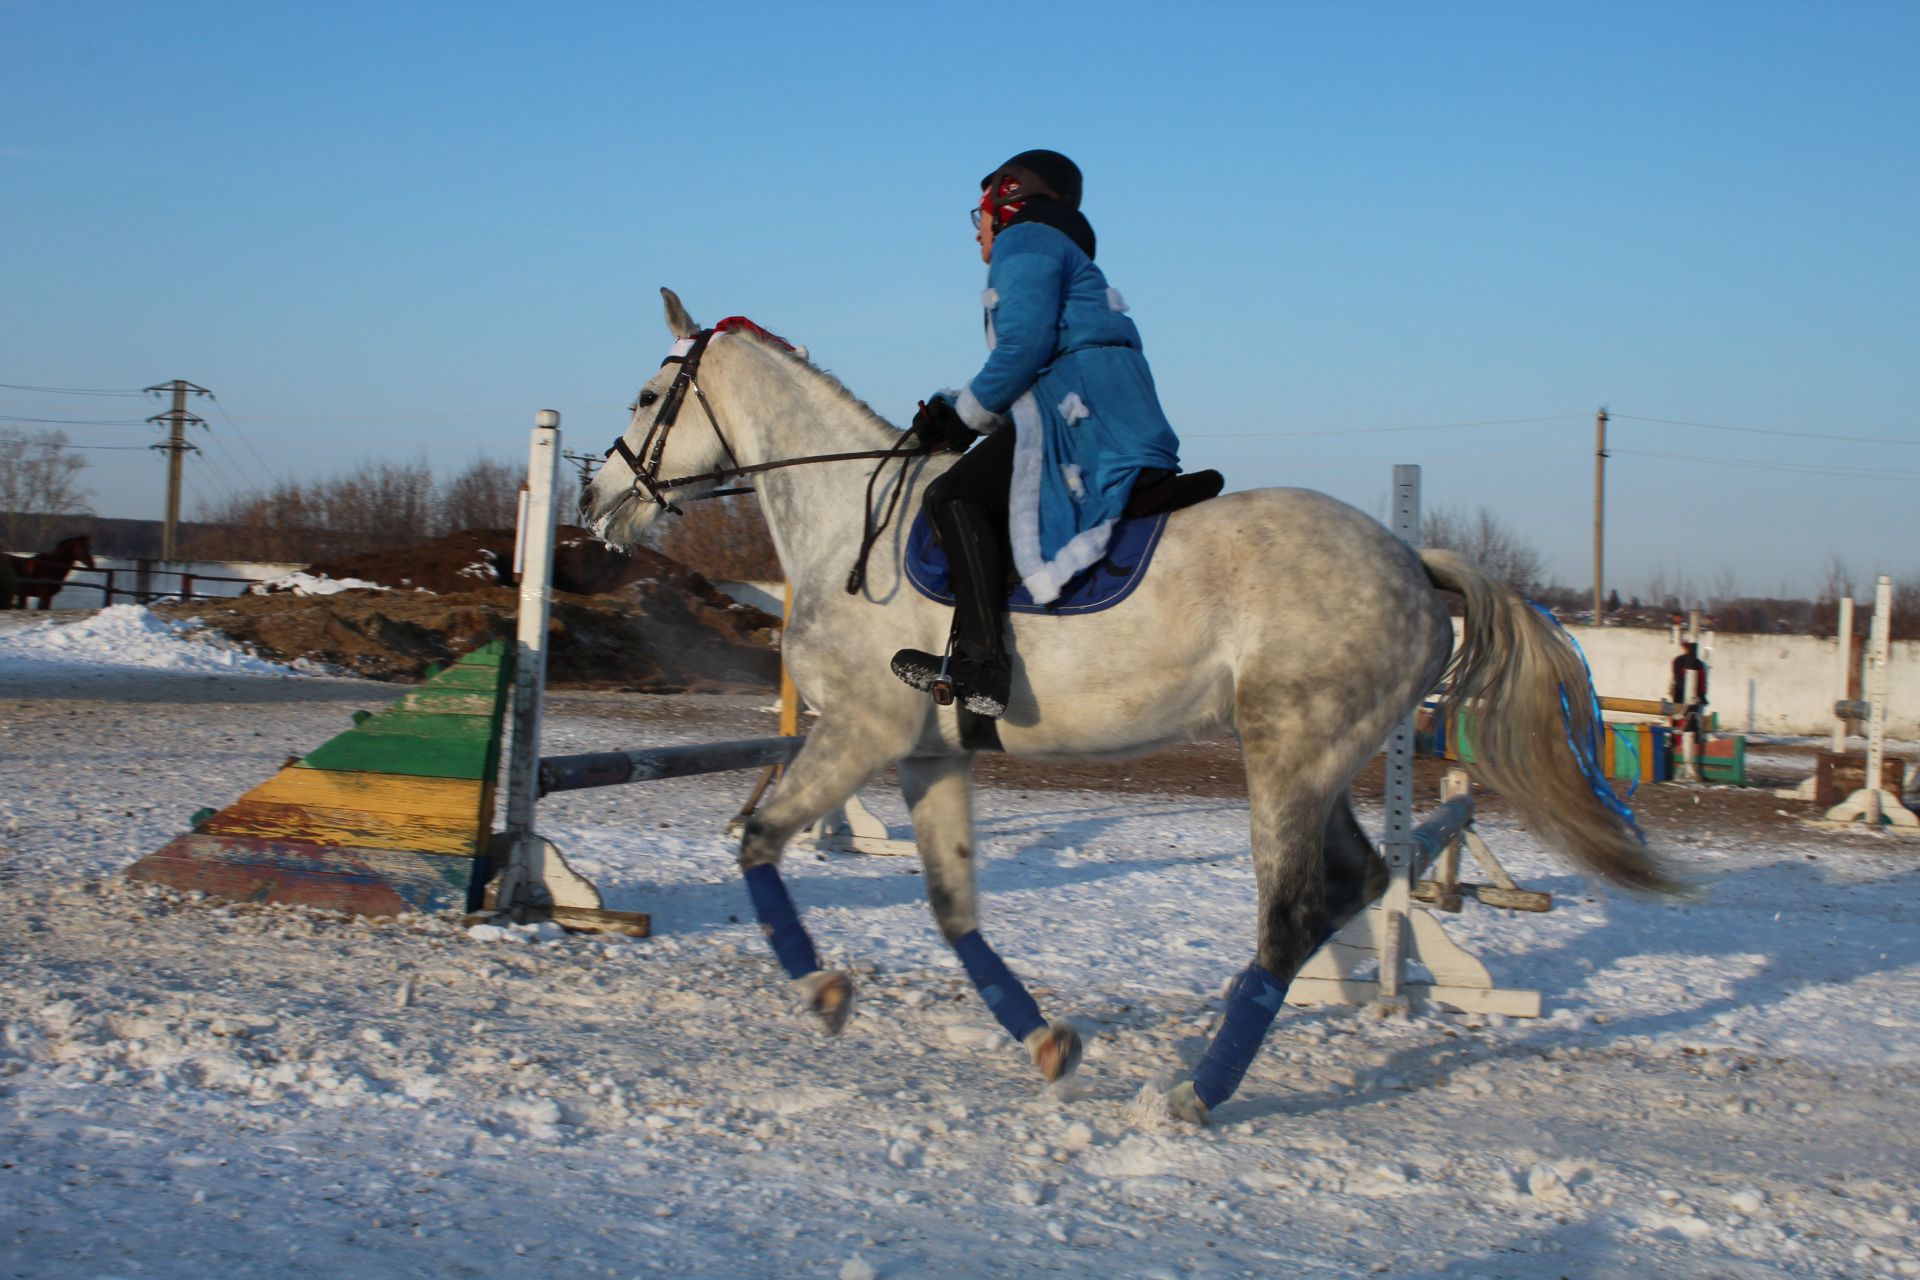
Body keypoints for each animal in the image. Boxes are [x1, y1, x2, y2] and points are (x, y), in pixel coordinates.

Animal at [579, 289, 1666, 1120]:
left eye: (647, 395)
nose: (594, 503)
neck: (856, 522)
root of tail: (1410, 560)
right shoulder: (930, 750)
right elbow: (952, 907)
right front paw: (1046, 1043)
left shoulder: (860, 731)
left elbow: (759, 839)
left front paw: (824, 990)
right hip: (1319, 759)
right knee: (1355, 881)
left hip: (1288, 754)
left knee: (1293, 909)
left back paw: (1196, 1093)